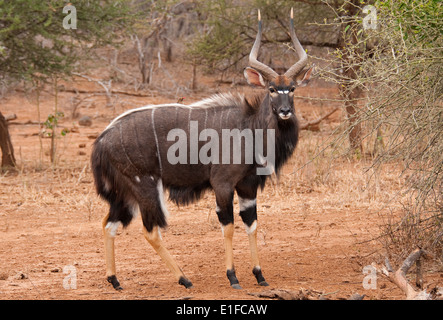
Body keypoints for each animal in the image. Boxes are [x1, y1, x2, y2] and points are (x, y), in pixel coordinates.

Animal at [91, 8, 312, 290]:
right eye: (271, 89)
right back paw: (184, 279)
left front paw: (260, 275)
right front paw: (232, 277)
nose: (285, 111)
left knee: (109, 224)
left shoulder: (248, 186)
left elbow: (252, 224)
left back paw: (115, 280)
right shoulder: (223, 183)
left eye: (292, 89)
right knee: (150, 230)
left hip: (125, 193)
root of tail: (102, 140)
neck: (250, 127)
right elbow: (228, 226)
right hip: (145, 187)